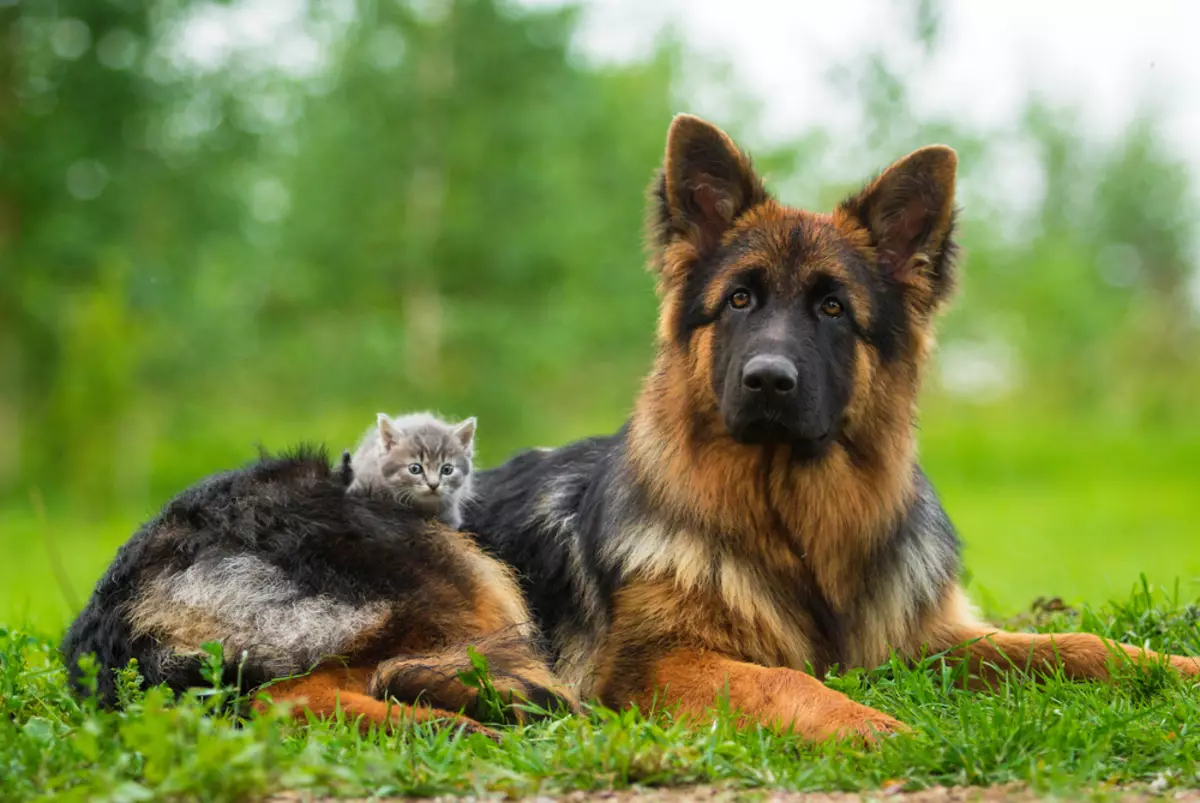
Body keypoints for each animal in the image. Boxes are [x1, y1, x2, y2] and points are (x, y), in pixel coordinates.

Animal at [458, 112, 1200, 739]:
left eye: (834, 308)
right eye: (739, 299)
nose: (767, 379)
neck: (795, 519)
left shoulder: (924, 638)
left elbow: (1078, 645)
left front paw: (1174, 669)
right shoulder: (655, 662)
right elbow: (787, 680)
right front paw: (878, 730)